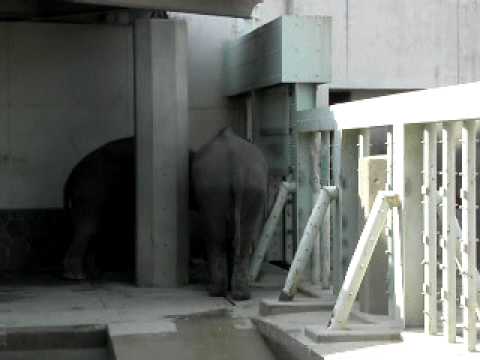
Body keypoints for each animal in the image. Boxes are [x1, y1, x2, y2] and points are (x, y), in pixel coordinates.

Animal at [191, 128, 268, 300]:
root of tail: (236, 164)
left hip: (213, 189)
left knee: (215, 239)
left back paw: (215, 291)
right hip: (251, 186)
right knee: (241, 239)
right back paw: (241, 295)